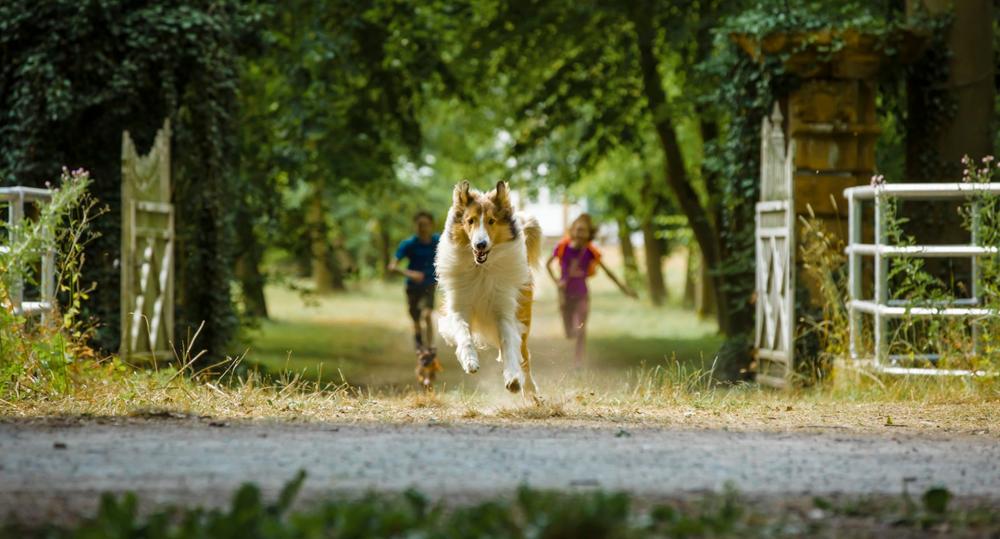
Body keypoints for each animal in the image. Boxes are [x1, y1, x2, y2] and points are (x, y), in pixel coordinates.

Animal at [434, 179, 540, 394]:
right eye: (470, 220)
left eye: (491, 221)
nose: (480, 244)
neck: (481, 269)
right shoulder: (459, 307)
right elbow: (463, 334)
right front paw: (470, 361)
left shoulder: (504, 311)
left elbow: (508, 344)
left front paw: (513, 378)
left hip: (523, 319)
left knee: (525, 356)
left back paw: (529, 389)